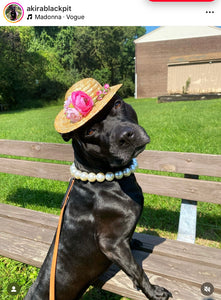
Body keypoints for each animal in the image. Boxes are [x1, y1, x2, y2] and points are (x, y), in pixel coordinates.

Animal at [24, 96, 173, 300]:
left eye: (117, 104)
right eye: (90, 131)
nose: (125, 136)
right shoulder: (111, 243)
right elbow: (136, 269)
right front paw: (153, 292)